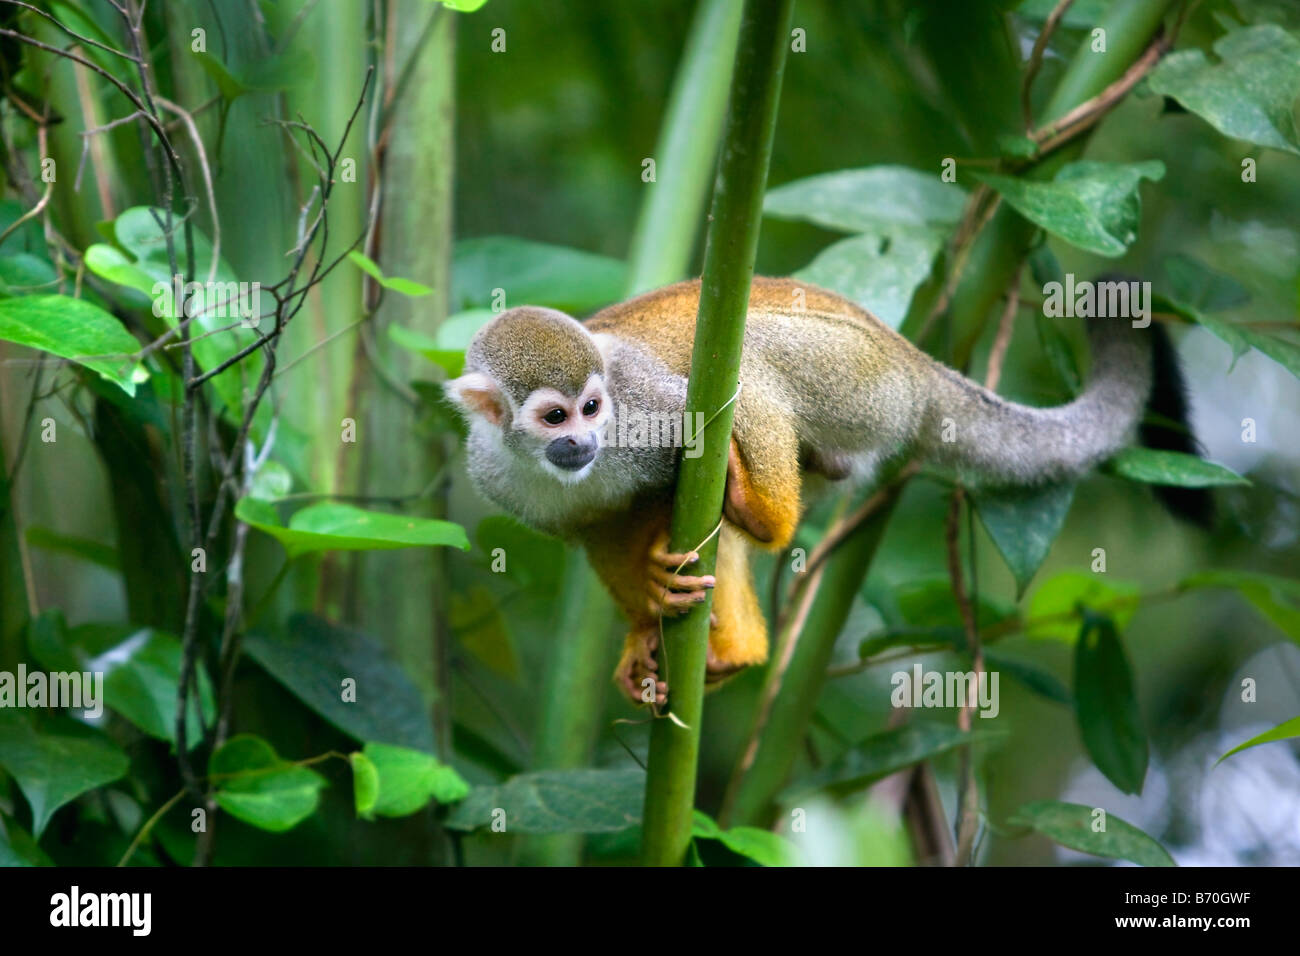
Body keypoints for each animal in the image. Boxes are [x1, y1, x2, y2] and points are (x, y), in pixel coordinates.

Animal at [449, 274, 1196, 702]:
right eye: (555, 418)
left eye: (593, 407)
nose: (583, 442)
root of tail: (913, 360)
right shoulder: (495, 474)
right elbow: (602, 529)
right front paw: (642, 629)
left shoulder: (643, 411)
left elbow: (681, 441)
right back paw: (738, 646)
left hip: (860, 378)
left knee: (745, 355)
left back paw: (765, 516)